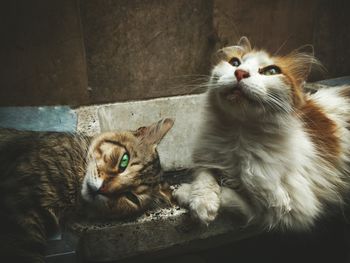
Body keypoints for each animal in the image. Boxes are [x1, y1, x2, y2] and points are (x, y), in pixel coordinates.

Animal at [174, 36, 350, 231]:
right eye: (235, 63)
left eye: (271, 71)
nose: (240, 73)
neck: (238, 134)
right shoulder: (208, 155)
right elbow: (204, 175)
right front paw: (199, 200)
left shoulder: (288, 209)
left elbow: (240, 202)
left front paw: (188, 194)